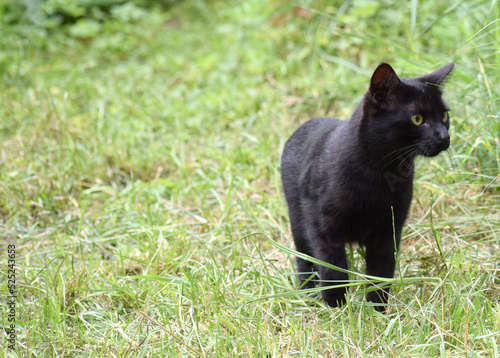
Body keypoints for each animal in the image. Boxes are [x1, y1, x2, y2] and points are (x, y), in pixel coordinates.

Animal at [282, 63, 454, 312]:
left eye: (444, 116)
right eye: (417, 118)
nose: (444, 136)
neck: (380, 173)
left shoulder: (389, 229)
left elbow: (381, 273)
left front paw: (378, 311)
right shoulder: (323, 227)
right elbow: (333, 268)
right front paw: (337, 308)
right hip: (298, 222)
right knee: (305, 258)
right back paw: (309, 294)